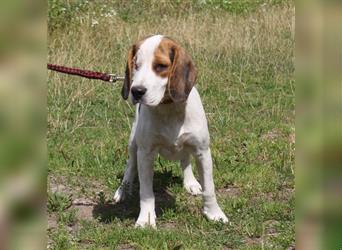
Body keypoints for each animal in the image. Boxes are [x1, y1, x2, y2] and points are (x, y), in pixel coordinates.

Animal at [113, 34, 228, 228]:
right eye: (135, 65)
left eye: (160, 66)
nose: (136, 91)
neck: (169, 108)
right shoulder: (146, 153)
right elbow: (146, 192)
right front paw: (146, 218)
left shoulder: (203, 151)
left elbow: (210, 188)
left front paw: (214, 213)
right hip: (134, 142)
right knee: (130, 165)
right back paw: (123, 189)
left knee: (185, 159)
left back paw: (190, 182)